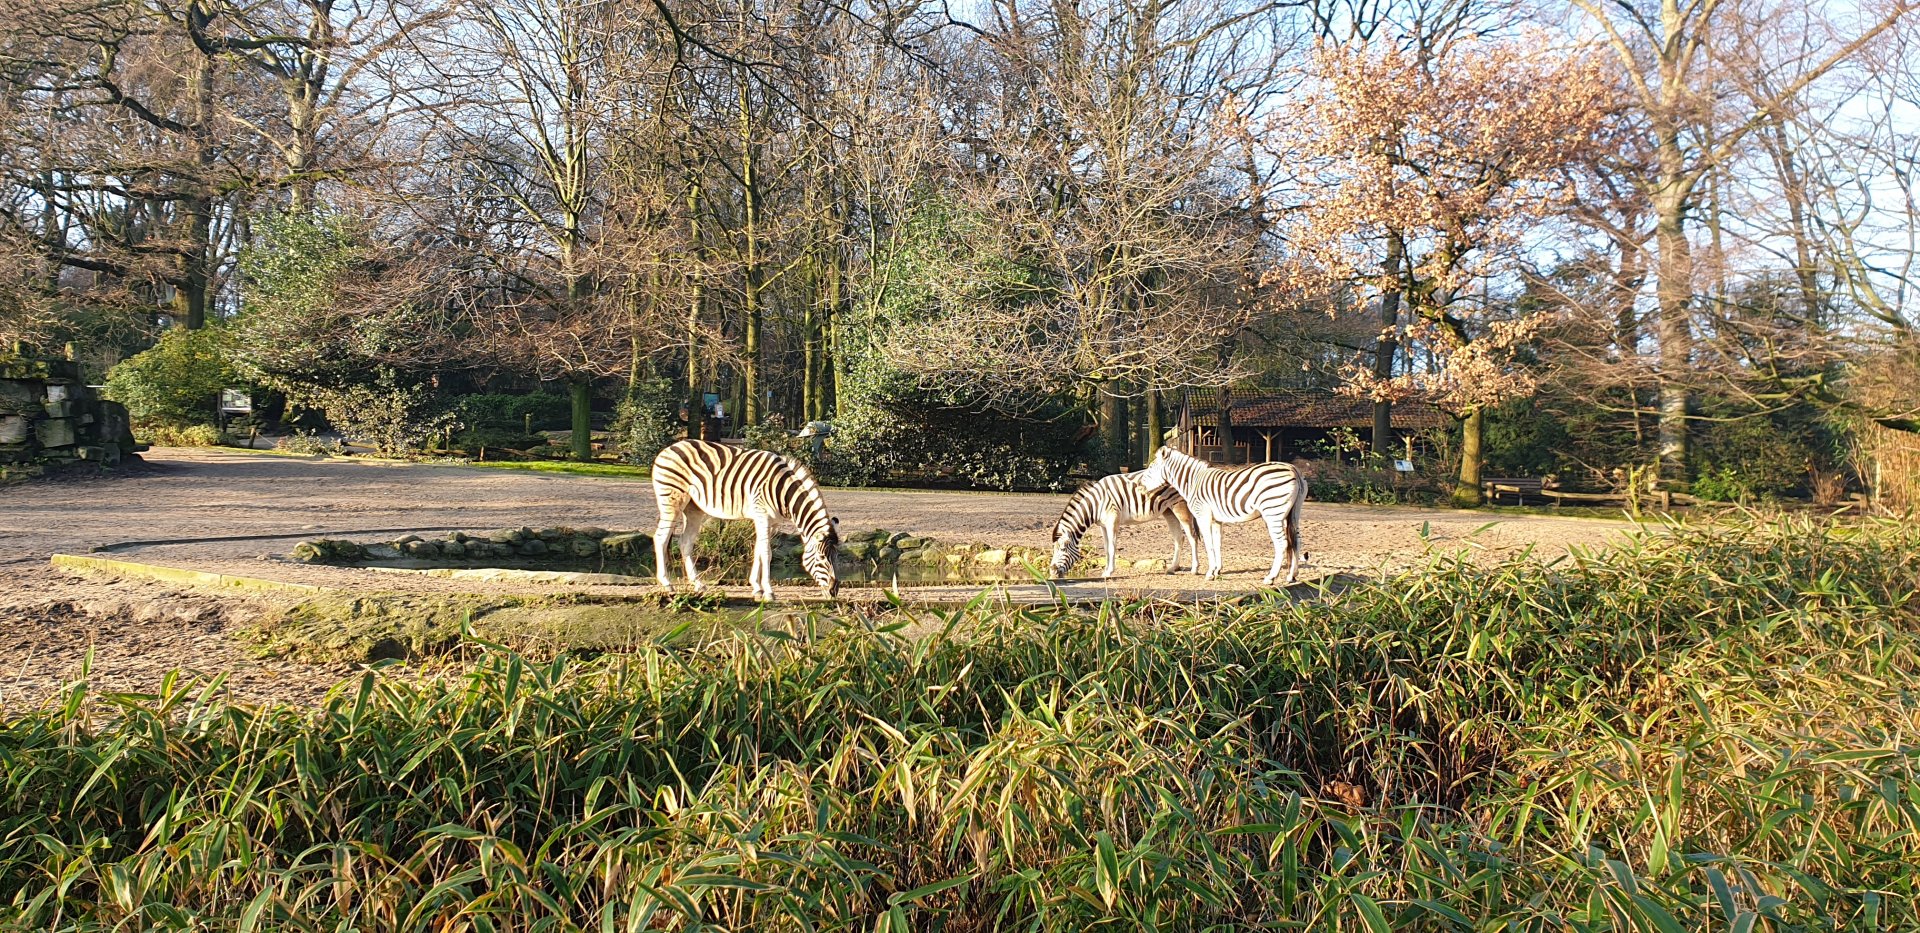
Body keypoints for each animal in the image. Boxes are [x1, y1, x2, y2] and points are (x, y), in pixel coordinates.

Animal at [651, 439, 840, 600]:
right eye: (822, 558)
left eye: (837, 557)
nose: (834, 591)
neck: (783, 491)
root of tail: (668, 448)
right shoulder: (762, 515)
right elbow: (766, 553)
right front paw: (768, 592)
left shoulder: (771, 522)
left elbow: (759, 550)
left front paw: (756, 588)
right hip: (672, 501)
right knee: (660, 538)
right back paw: (667, 584)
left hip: (693, 509)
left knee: (685, 543)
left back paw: (698, 584)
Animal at [1049, 473, 1202, 579]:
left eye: (1063, 549)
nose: (1052, 572)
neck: (1095, 504)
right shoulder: (1103, 525)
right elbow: (1106, 548)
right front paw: (1105, 570)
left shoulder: (1112, 521)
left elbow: (1112, 547)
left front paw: (1109, 572)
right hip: (1168, 511)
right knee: (1179, 538)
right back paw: (1172, 568)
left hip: (1180, 506)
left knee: (1192, 536)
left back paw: (1195, 569)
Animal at [1134, 445, 1307, 585]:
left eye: (1151, 467)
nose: (1138, 486)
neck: (1193, 481)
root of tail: (1293, 469)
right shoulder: (1216, 520)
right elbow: (1217, 544)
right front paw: (1217, 570)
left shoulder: (1202, 515)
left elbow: (1208, 544)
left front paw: (1210, 573)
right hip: (1295, 512)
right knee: (1297, 541)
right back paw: (1292, 576)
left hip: (1273, 513)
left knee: (1282, 543)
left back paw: (1270, 578)